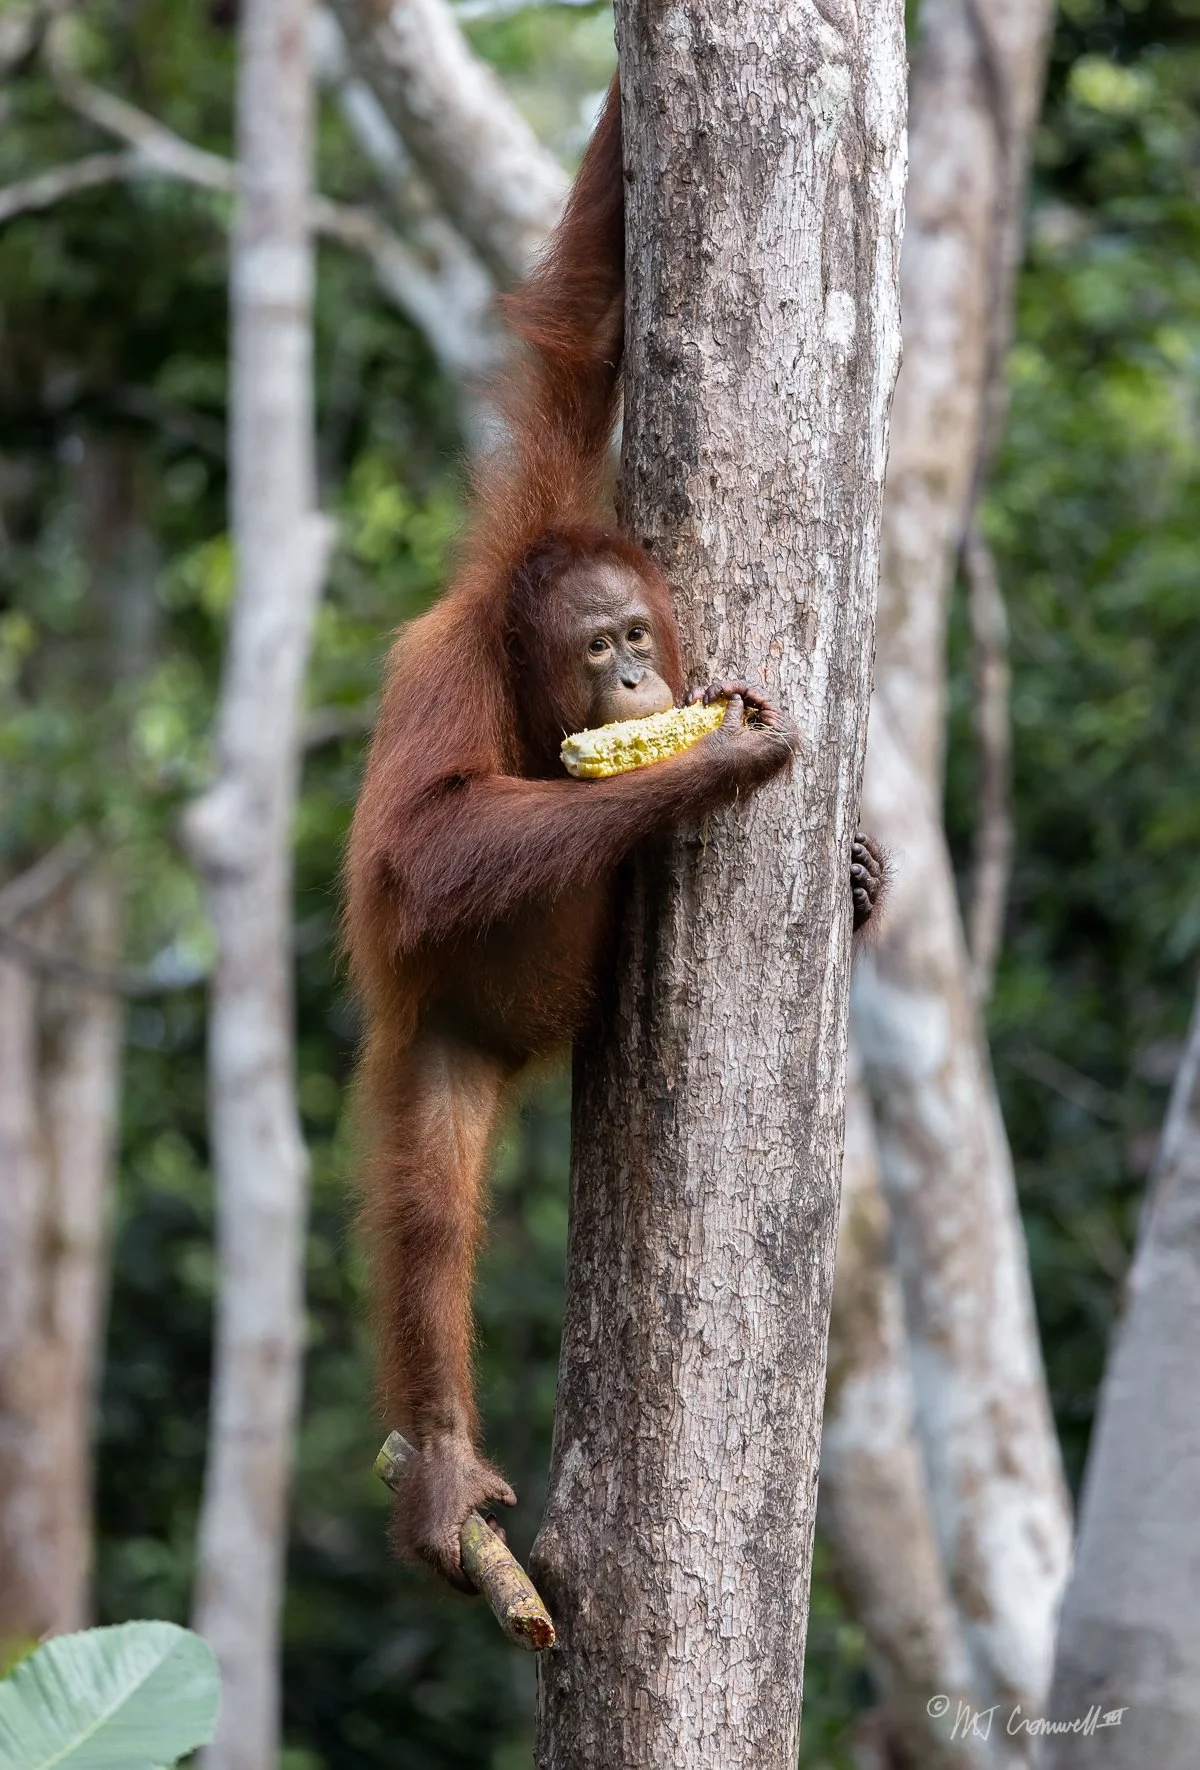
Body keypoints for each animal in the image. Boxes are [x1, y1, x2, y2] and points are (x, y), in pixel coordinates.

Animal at [342, 76, 887, 1591]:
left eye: (641, 633)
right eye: (599, 651)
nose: (643, 685)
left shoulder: (549, 502)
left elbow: (584, 326)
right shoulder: (449, 676)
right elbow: (421, 850)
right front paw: (718, 763)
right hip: (440, 1041)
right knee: (427, 1217)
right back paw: (444, 1473)